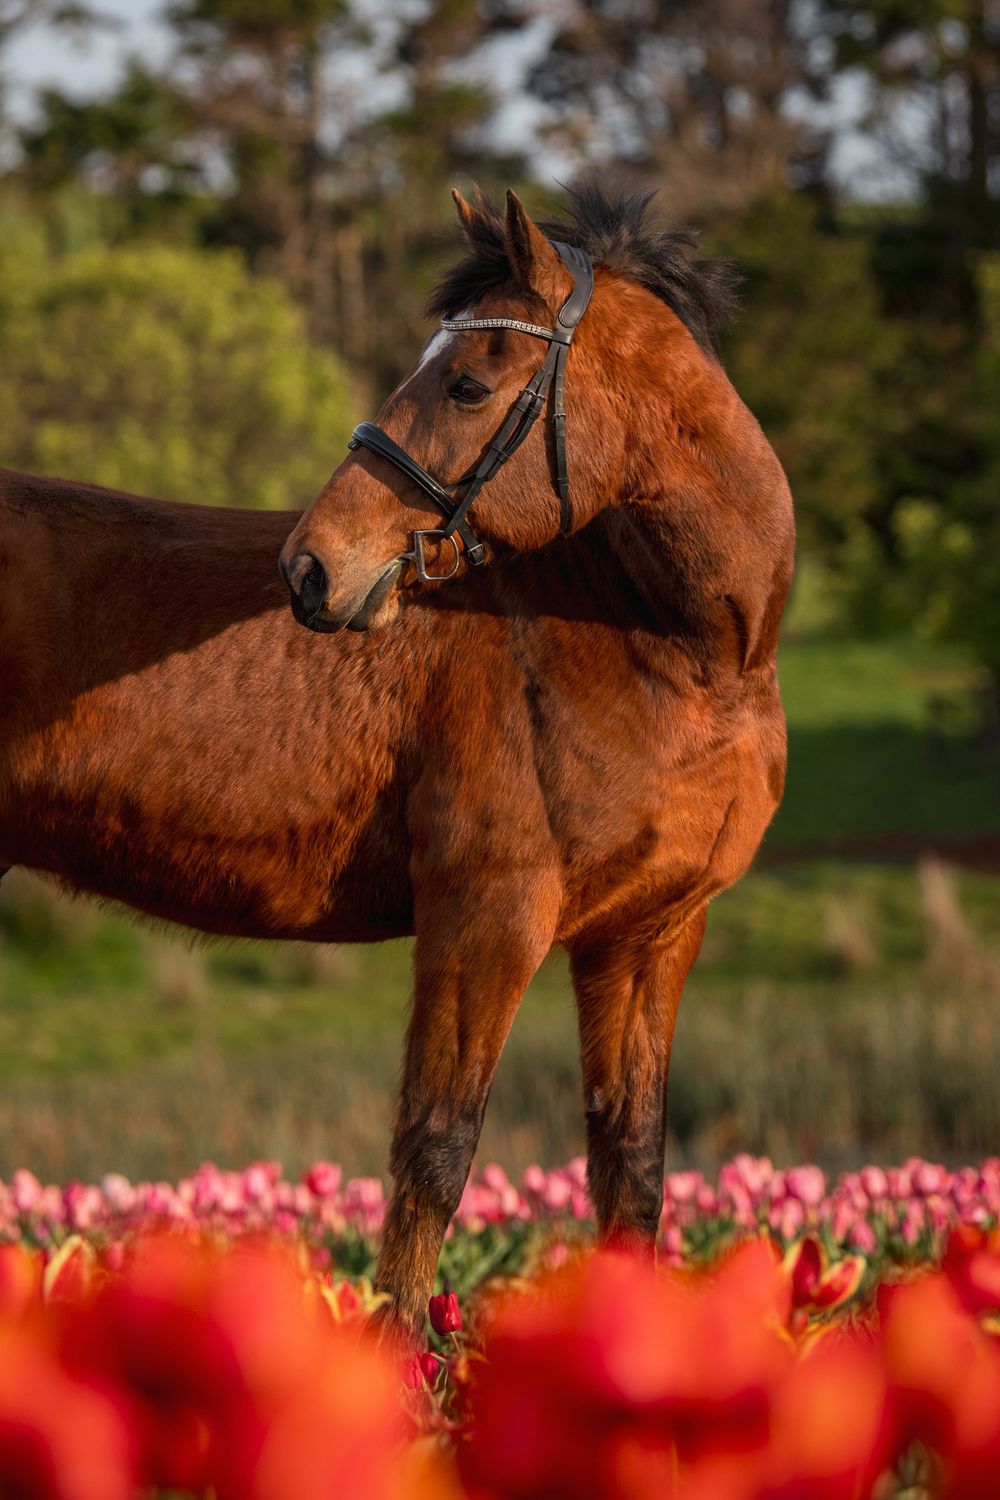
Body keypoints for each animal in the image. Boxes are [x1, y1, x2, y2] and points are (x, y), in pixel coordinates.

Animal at [0, 185, 793, 1345]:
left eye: (466, 382)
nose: (313, 568)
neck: (657, 641)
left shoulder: (649, 935)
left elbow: (630, 1166)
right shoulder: (487, 917)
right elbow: (434, 1153)